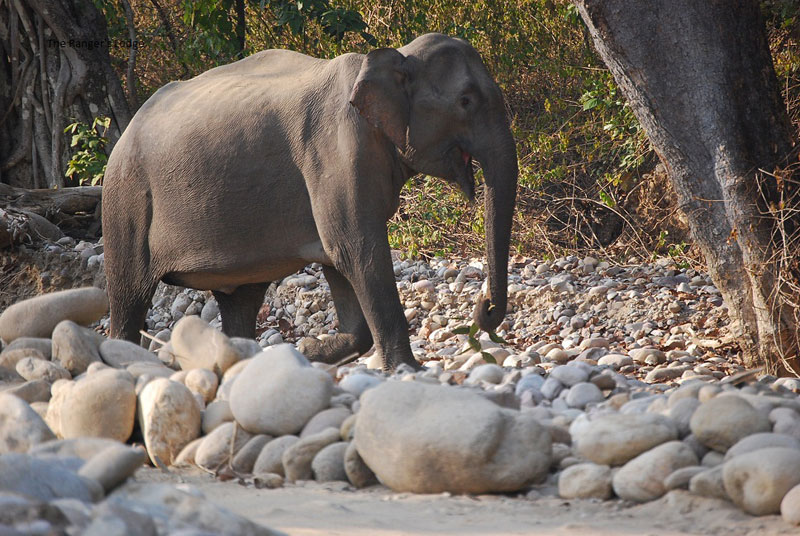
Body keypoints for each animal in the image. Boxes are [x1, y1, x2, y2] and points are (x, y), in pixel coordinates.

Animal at [103, 32, 520, 368]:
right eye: (466, 100)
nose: (483, 307)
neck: (395, 56)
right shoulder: (336, 154)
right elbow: (355, 250)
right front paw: (405, 370)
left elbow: (341, 260)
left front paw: (310, 352)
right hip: (126, 199)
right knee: (129, 297)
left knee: (240, 301)